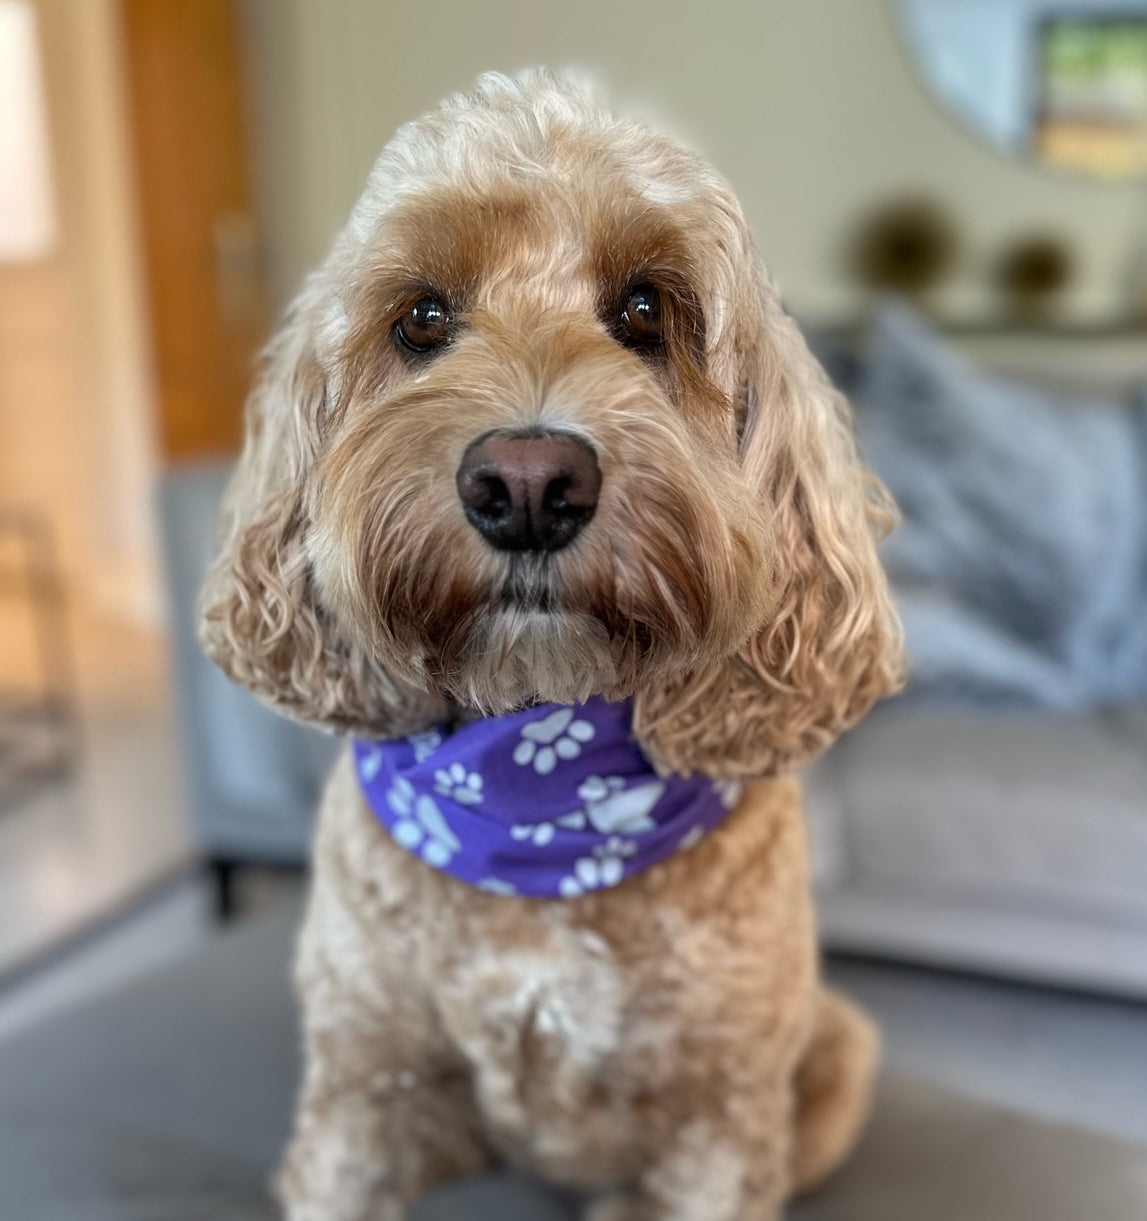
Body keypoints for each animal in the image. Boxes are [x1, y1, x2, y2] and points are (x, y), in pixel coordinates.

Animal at [201, 69, 908, 1221]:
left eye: (645, 309)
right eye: (423, 317)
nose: (527, 484)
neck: (539, 794)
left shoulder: (721, 1117)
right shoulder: (361, 1087)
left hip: (836, 1053)